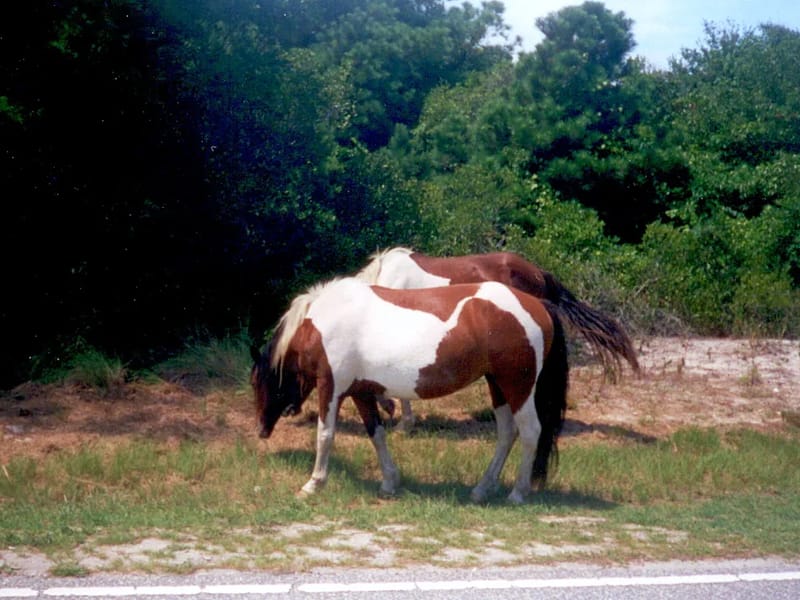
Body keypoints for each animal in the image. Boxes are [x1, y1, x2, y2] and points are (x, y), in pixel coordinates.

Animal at [250, 277, 568, 504]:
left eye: (255, 382)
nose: (261, 430)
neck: (323, 321)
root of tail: (538, 304)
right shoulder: (361, 392)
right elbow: (376, 434)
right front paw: (390, 482)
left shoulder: (331, 387)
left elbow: (325, 435)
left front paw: (313, 484)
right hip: (497, 386)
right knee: (506, 433)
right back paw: (482, 489)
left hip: (517, 387)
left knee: (530, 432)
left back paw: (518, 493)